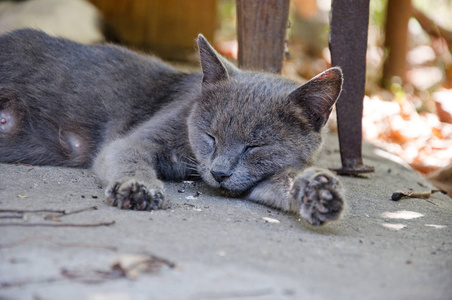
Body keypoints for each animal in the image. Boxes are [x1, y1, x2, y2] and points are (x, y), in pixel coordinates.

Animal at [0, 29, 344, 225]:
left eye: (254, 147)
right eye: (210, 136)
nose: (219, 173)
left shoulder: (256, 180)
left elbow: (280, 183)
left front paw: (320, 194)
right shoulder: (136, 139)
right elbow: (128, 156)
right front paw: (137, 187)